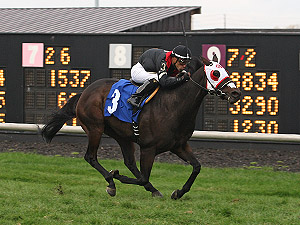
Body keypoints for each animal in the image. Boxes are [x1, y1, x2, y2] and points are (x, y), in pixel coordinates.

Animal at [41, 55, 241, 199]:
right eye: (215, 73)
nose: (236, 93)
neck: (174, 106)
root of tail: (84, 92)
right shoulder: (148, 148)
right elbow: (143, 176)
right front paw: (116, 176)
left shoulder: (179, 145)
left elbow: (197, 167)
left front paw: (178, 192)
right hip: (95, 128)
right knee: (91, 157)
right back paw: (112, 183)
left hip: (122, 136)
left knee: (129, 162)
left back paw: (150, 189)